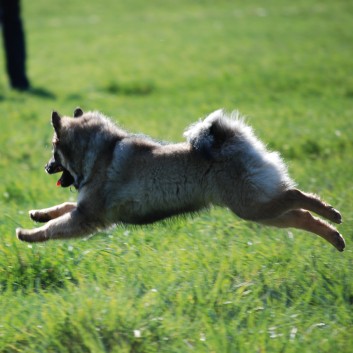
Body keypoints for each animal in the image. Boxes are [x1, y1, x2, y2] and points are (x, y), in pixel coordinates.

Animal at [16, 108, 344, 250]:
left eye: (54, 150)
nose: (46, 167)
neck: (100, 150)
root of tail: (235, 141)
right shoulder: (87, 209)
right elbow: (60, 209)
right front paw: (37, 214)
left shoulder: (88, 217)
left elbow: (55, 227)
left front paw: (28, 234)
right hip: (261, 208)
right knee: (301, 215)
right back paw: (335, 237)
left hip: (252, 206)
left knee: (297, 197)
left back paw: (332, 214)